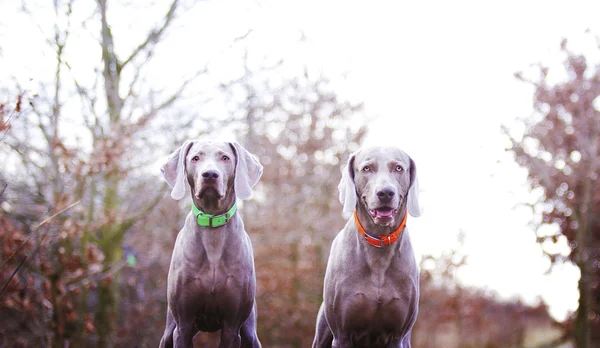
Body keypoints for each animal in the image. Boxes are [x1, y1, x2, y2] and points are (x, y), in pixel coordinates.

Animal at [159, 139, 262, 348]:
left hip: (250, 333)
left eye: (225, 158)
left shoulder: (232, 326)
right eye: (195, 158)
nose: (210, 174)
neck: (212, 221)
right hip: (169, 330)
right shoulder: (183, 324)